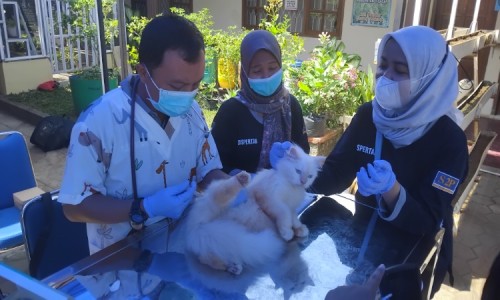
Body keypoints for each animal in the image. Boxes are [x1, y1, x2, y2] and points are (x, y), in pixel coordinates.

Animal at [184, 144, 324, 276]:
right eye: (298, 171)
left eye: (310, 176)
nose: (303, 181)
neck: (292, 188)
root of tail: (196, 228)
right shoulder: (271, 199)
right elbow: (284, 214)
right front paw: (287, 232)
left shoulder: (292, 207)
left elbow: (294, 219)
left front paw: (300, 230)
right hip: (215, 203)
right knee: (222, 192)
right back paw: (242, 179)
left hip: (215, 242)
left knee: (208, 257)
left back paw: (233, 267)